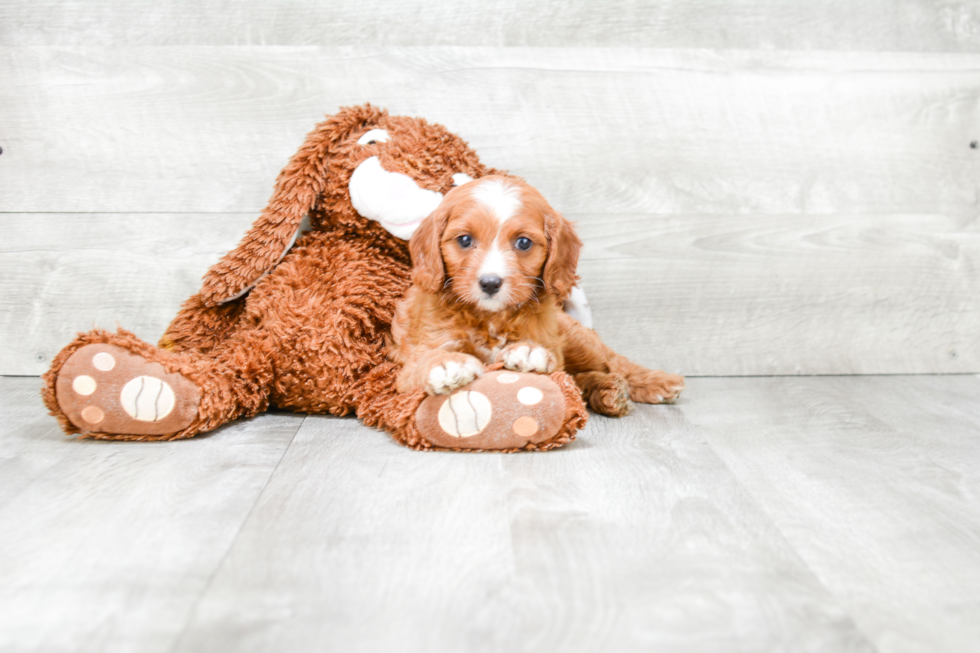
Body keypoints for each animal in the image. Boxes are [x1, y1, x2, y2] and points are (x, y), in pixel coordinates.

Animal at [386, 176, 684, 416]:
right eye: (464, 240)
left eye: (523, 243)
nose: (490, 283)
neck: (490, 318)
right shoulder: (416, 357)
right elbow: (424, 361)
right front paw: (445, 363)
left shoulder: (550, 343)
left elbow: (557, 365)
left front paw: (528, 350)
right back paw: (608, 392)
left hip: (579, 339)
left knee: (612, 362)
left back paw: (653, 383)